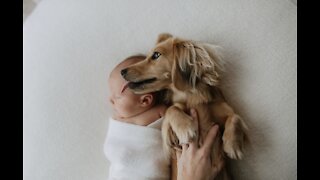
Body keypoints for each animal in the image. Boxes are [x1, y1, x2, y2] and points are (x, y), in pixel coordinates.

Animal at [121, 33, 249, 180]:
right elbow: (172, 109)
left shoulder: (221, 108)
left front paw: (233, 145)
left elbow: (235, 117)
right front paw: (186, 128)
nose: (122, 71)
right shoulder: (174, 109)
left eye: (156, 55)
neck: (191, 97)